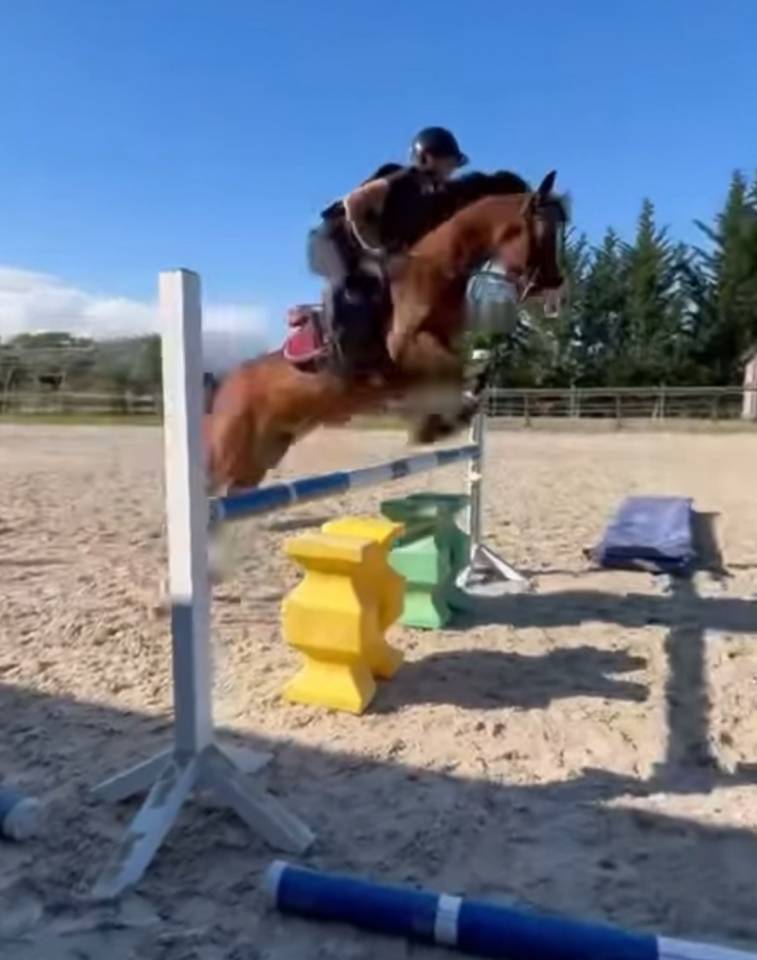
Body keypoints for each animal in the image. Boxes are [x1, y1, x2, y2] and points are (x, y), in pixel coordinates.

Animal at [204, 170, 568, 492]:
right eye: (542, 232)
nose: (556, 289)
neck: (437, 270)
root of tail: (225, 386)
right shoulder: (407, 351)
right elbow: (454, 370)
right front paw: (435, 425)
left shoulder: (441, 344)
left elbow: (474, 372)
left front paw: (441, 420)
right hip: (228, 455)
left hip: (255, 464)